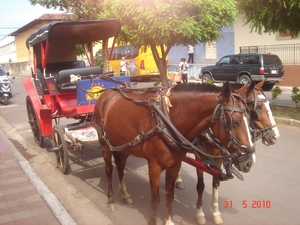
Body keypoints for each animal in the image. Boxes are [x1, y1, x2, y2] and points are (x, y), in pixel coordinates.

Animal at [94, 81, 255, 224]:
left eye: (249, 118)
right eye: (234, 122)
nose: (249, 162)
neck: (168, 120)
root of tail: (107, 93)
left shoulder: (175, 164)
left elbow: (170, 195)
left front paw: (169, 221)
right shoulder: (154, 166)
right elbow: (155, 199)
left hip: (123, 146)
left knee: (120, 167)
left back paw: (125, 194)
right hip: (105, 145)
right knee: (109, 170)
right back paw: (111, 200)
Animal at [175, 80, 280, 224]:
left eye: (269, 105)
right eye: (258, 107)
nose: (275, 136)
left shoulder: (218, 158)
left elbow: (216, 182)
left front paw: (216, 212)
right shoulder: (200, 157)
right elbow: (200, 185)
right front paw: (200, 214)